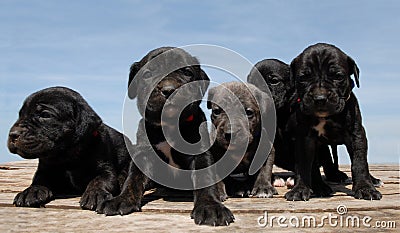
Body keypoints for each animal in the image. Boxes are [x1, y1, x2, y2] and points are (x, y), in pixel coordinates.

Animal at [97, 46, 234, 226]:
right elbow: (133, 179)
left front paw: (210, 206)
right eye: (147, 74)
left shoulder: (200, 154)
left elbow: (205, 179)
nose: (169, 89)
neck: (169, 125)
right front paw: (122, 199)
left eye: (187, 72)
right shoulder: (143, 154)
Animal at [286, 43, 382, 200]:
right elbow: (304, 164)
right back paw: (320, 186)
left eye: (338, 76)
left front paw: (365, 188)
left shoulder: (356, 135)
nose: (320, 98)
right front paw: (300, 189)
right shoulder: (305, 138)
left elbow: (359, 162)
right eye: (303, 77)